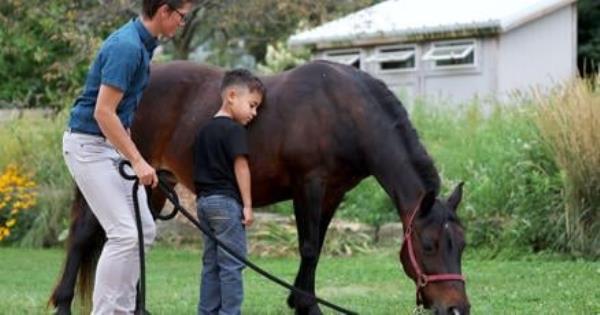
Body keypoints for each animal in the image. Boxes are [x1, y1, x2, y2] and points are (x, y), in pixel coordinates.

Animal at [50, 60, 468, 314]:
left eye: (461, 245)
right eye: (427, 245)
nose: (457, 308)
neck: (343, 111)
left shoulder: (333, 193)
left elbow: (315, 248)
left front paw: (301, 300)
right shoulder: (309, 185)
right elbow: (309, 246)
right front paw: (308, 305)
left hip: (152, 185)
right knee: (83, 237)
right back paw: (64, 303)